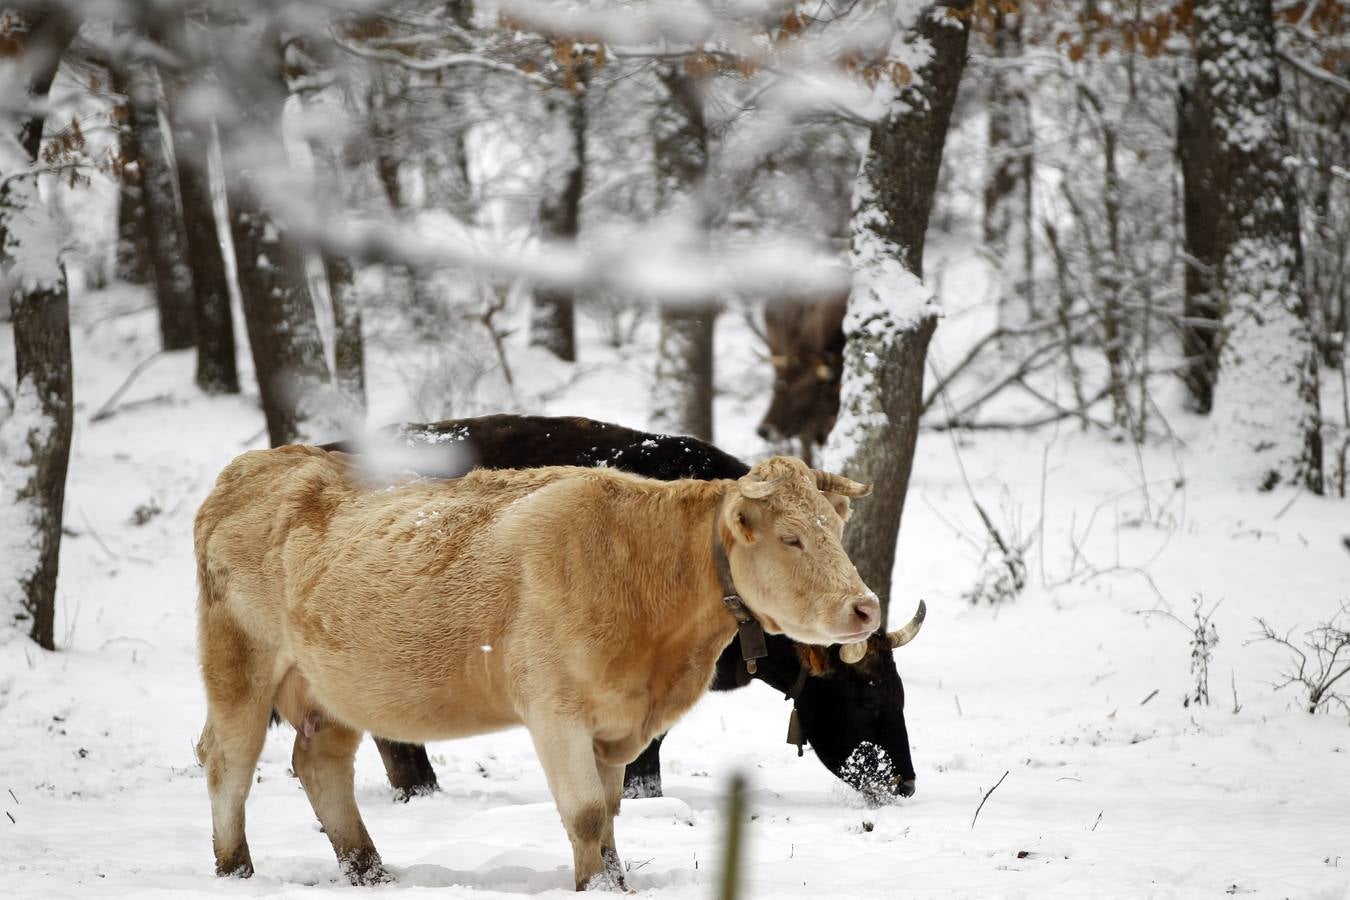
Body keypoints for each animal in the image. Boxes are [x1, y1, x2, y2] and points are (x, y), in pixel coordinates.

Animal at [193, 447, 874, 890]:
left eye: (836, 532)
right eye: (791, 537)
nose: (865, 606)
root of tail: (255, 465)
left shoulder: (614, 724)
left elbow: (609, 815)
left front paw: (614, 883)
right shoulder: (555, 712)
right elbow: (586, 813)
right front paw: (593, 887)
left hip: (332, 688)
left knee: (320, 764)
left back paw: (370, 871)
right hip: (238, 663)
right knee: (227, 762)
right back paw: (235, 869)